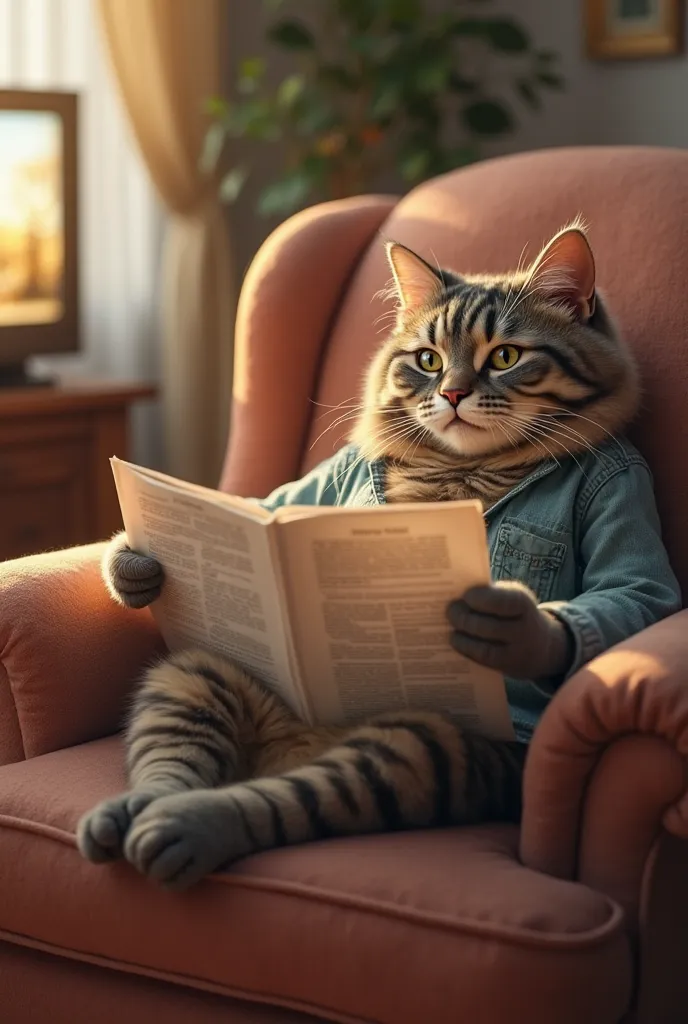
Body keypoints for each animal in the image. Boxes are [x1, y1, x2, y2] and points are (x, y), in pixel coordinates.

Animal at [76, 224, 638, 888]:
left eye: (505, 357)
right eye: (427, 360)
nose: (452, 393)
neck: (460, 469)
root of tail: (293, 744)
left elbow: (628, 592)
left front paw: (508, 623)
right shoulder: (299, 493)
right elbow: (263, 503)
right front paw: (133, 568)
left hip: (422, 747)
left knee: (271, 802)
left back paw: (175, 829)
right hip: (199, 673)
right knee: (174, 759)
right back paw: (126, 813)